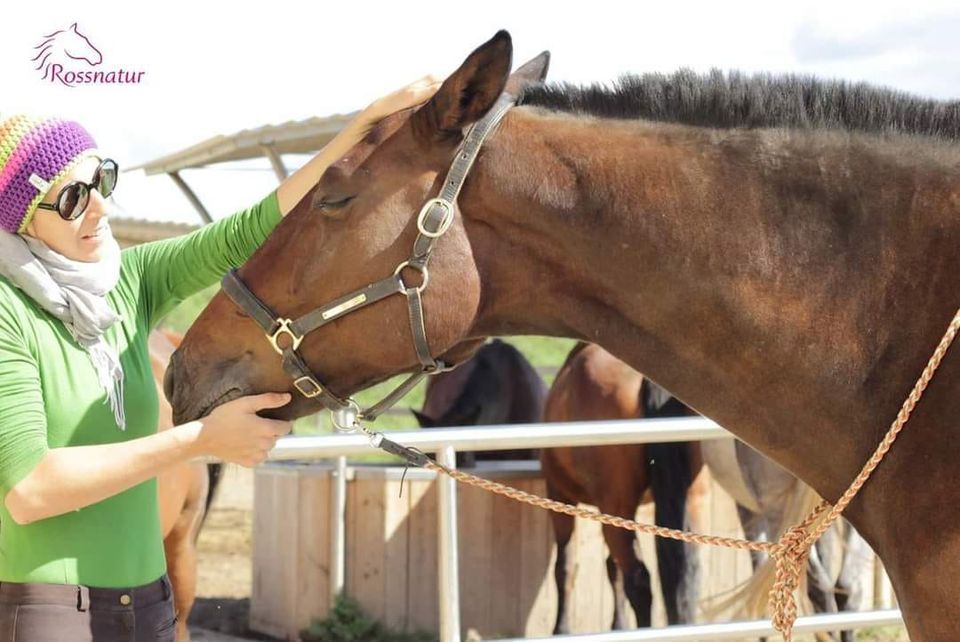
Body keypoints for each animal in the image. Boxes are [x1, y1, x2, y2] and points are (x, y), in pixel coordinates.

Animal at [544, 342, 708, 628]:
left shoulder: (560, 494)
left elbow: (565, 567)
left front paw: (561, 629)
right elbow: (612, 569)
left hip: (613, 503)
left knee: (638, 580)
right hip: (691, 499)